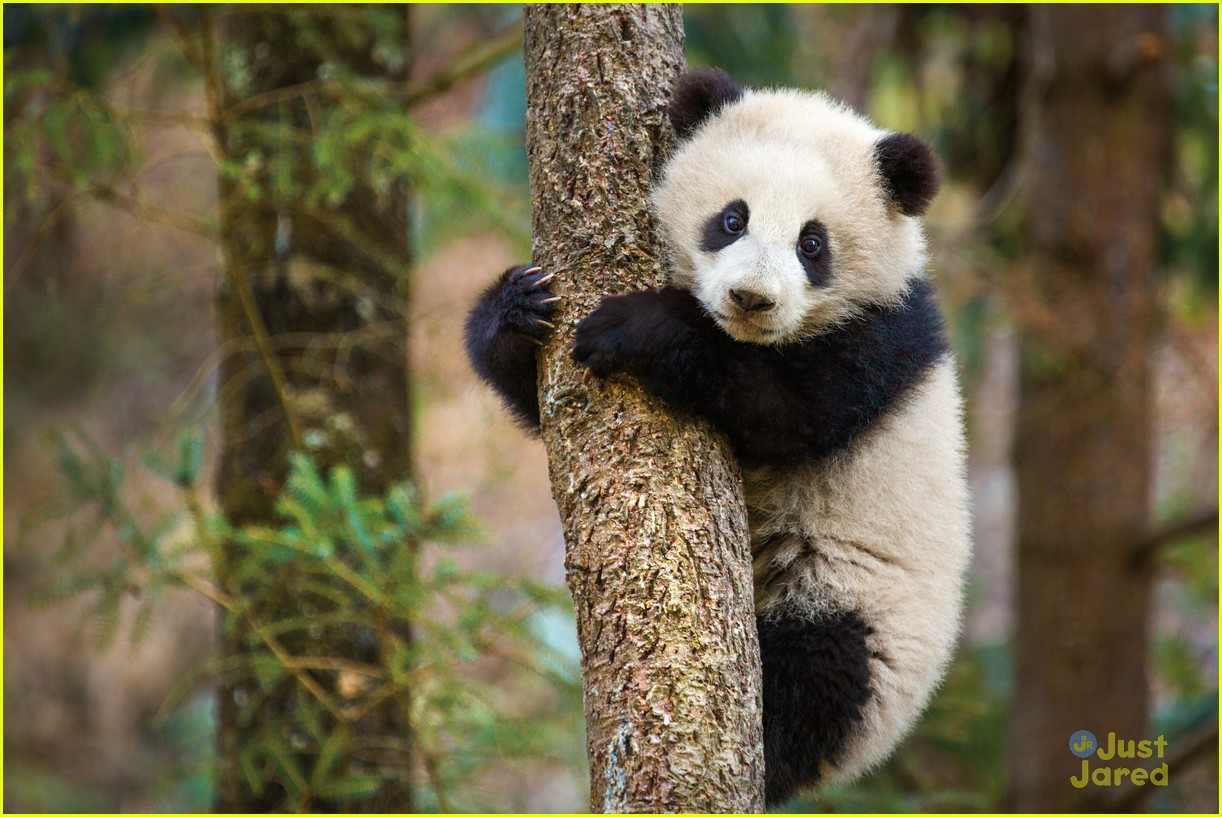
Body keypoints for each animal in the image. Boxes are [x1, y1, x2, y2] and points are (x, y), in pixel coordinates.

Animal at [461, 68, 967, 801]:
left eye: (812, 244)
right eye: (733, 219)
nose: (751, 298)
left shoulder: (881, 341)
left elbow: (785, 415)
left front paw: (643, 329)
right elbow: (537, 393)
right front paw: (516, 308)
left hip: (863, 613)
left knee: (817, 673)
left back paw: (772, 753)